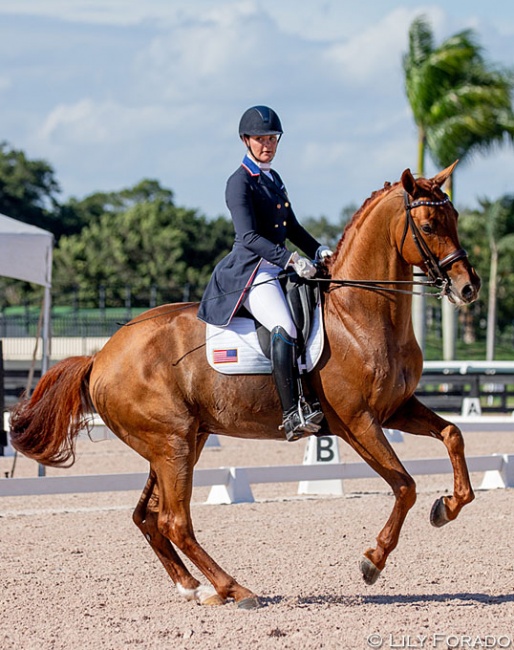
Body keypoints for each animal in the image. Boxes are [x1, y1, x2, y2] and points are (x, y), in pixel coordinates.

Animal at [9, 162, 480, 608]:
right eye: (428, 225)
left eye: (455, 216)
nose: (468, 287)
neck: (357, 315)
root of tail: (101, 356)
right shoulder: (357, 421)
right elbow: (405, 485)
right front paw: (373, 561)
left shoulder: (395, 408)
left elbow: (453, 435)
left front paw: (447, 507)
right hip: (172, 444)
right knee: (174, 521)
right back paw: (235, 589)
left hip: (179, 442)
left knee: (148, 517)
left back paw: (195, 588)